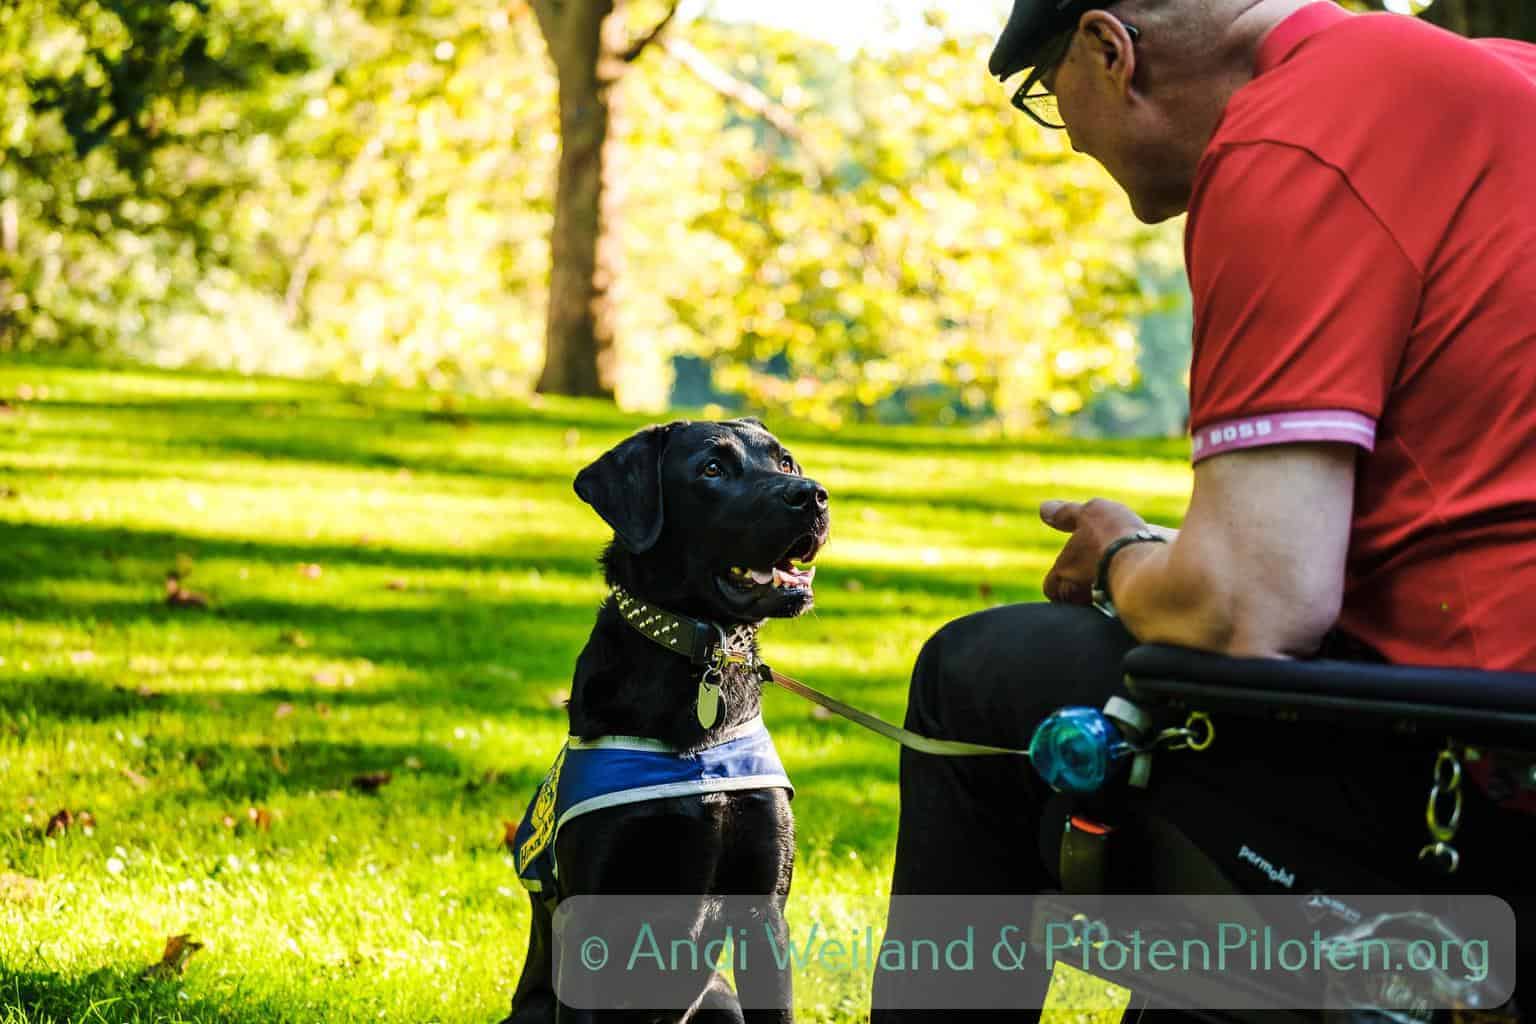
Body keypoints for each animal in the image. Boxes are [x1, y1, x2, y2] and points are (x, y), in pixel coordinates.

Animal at [506, 417, 835, 1024]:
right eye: (712, 469)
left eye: (786, 462)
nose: (813, 495)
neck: (702, 657)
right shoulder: (589, 920)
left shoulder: (764, 911)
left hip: (719, 1000)